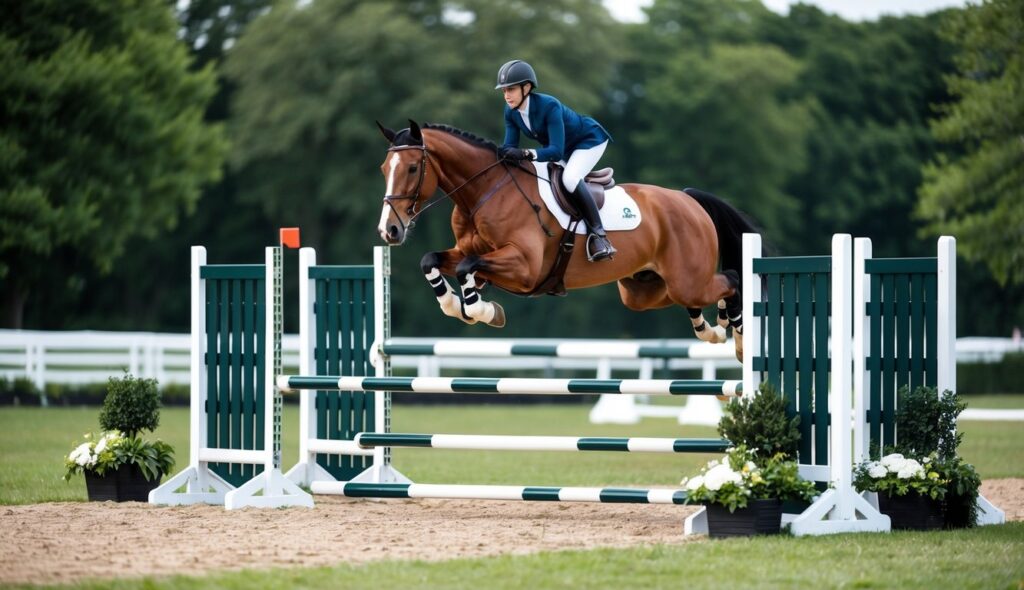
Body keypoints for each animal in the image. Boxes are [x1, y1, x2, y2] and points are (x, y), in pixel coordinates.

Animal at [372, 119, 757, 360]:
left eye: (411, 168)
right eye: (383, 169)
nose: (389, 230)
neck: (483, 192)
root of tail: (689, 199)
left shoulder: (524, 268)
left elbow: (468, 268)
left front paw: (480, 309)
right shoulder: (469, 252)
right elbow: (433, 261)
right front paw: (459, 305)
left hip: (684, 279)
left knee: (731, 280)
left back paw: (738, 338)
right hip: (644, 289)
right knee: (701, 294)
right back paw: (713, 328)